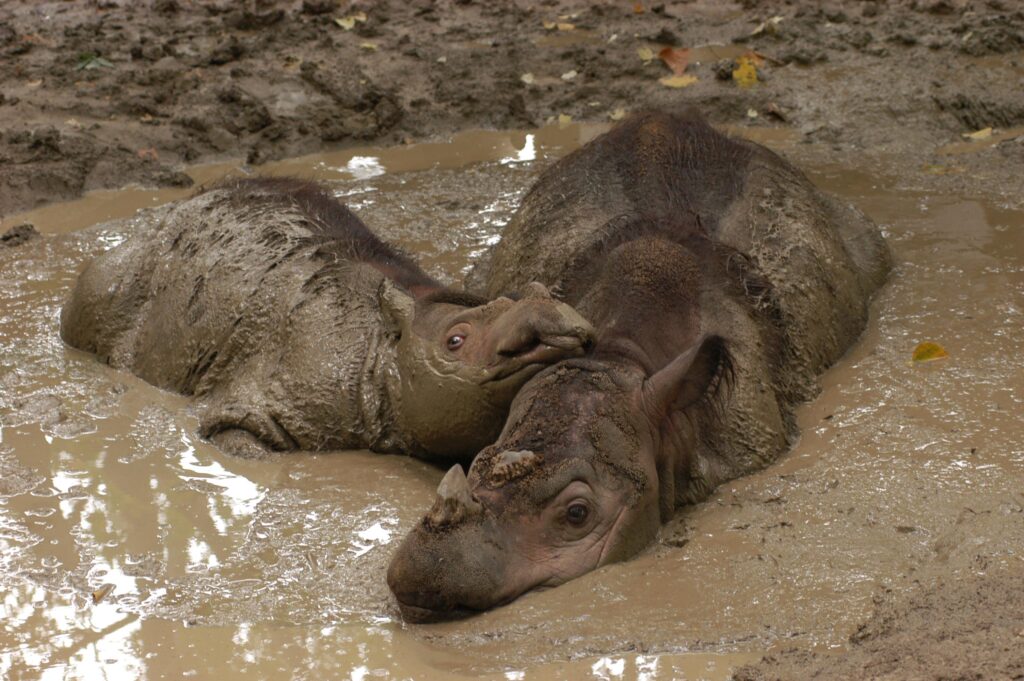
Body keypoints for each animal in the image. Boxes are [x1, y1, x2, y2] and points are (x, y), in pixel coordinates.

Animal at [60, 177, 594, 460]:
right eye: (455, 341)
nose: (557, 320)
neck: (383, 343)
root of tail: (166, 213)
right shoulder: (248, 403)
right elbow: (241, 437)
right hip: (121, 275)